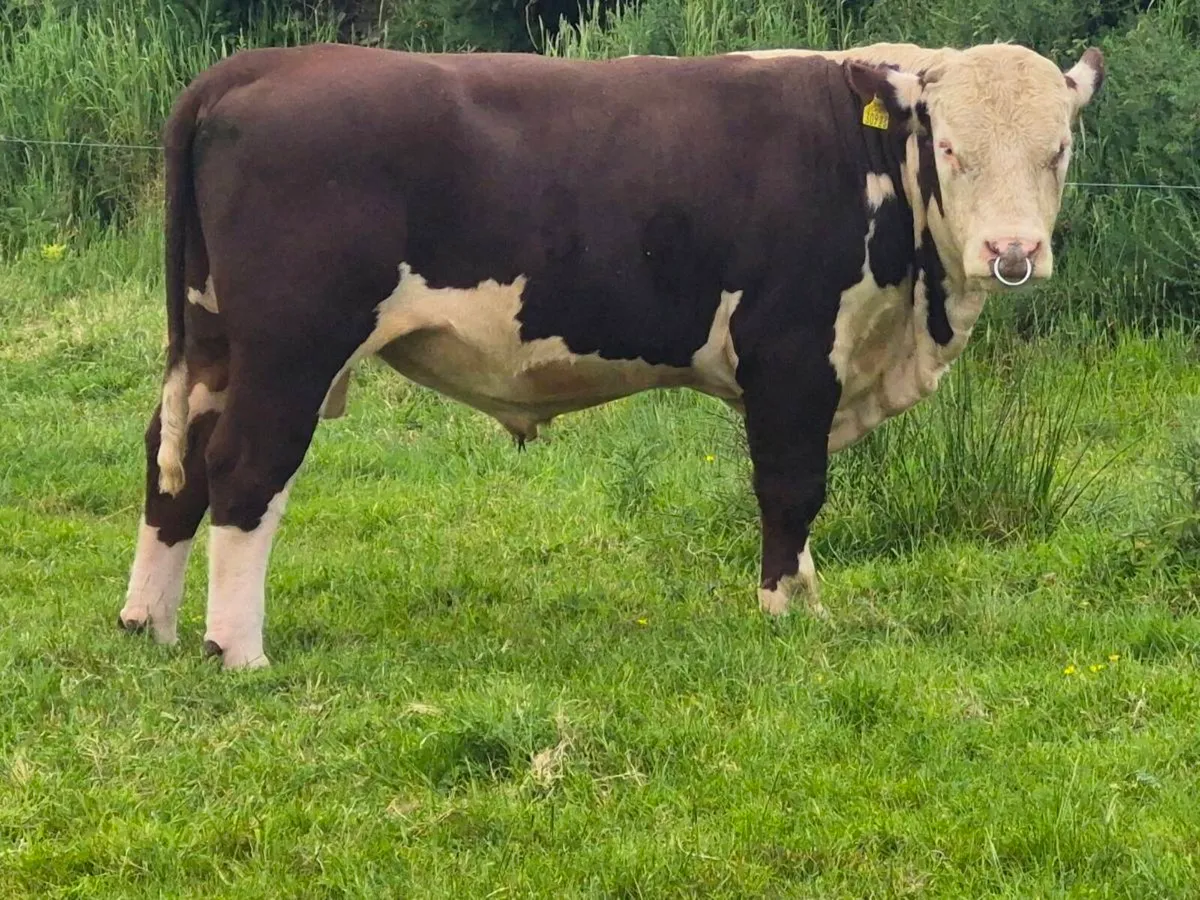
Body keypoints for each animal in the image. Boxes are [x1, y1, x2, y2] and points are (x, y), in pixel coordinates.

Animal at [116, 41, 1104, 668]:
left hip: (213, 339)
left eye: (1058, 150)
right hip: (291, 347)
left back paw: (150, 625)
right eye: (952, 148)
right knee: (244, 469)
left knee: (173, 460)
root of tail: (263, 64)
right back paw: (237, 651)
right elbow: (792, 487)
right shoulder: (790, 354)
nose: (1012, 251)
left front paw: (807, 600)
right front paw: (787, 614)